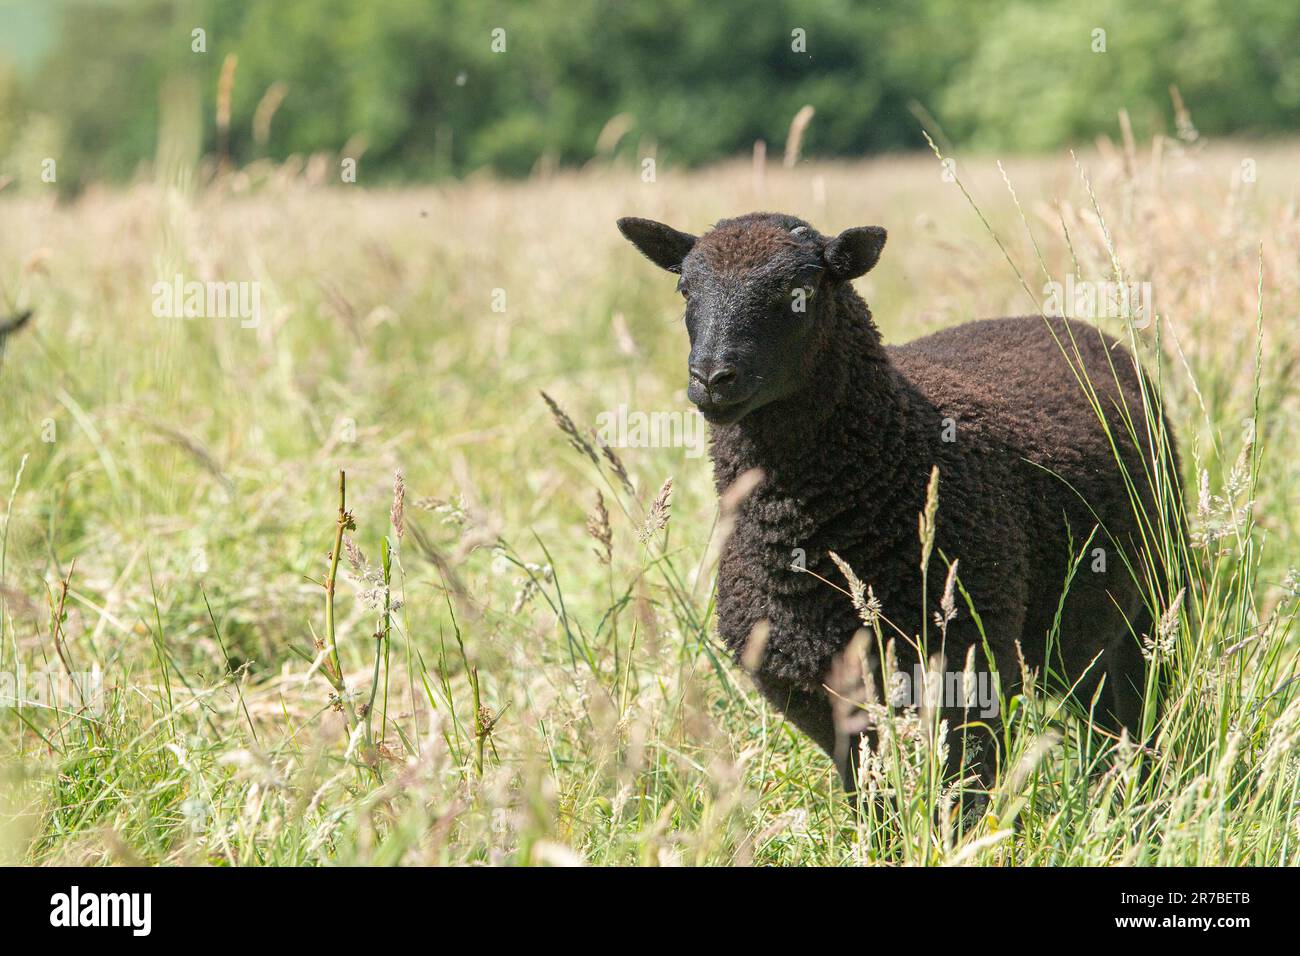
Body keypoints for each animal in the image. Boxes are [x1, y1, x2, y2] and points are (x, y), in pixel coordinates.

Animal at [618, 213, 1180, 790]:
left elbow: (963, 789)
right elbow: (871, 791)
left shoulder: (969, 667)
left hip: (1154, 596)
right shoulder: (817, 692)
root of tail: (1064, 324)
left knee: (1133, 708)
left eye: (801, 291)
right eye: (686, 289)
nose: (711, 378)